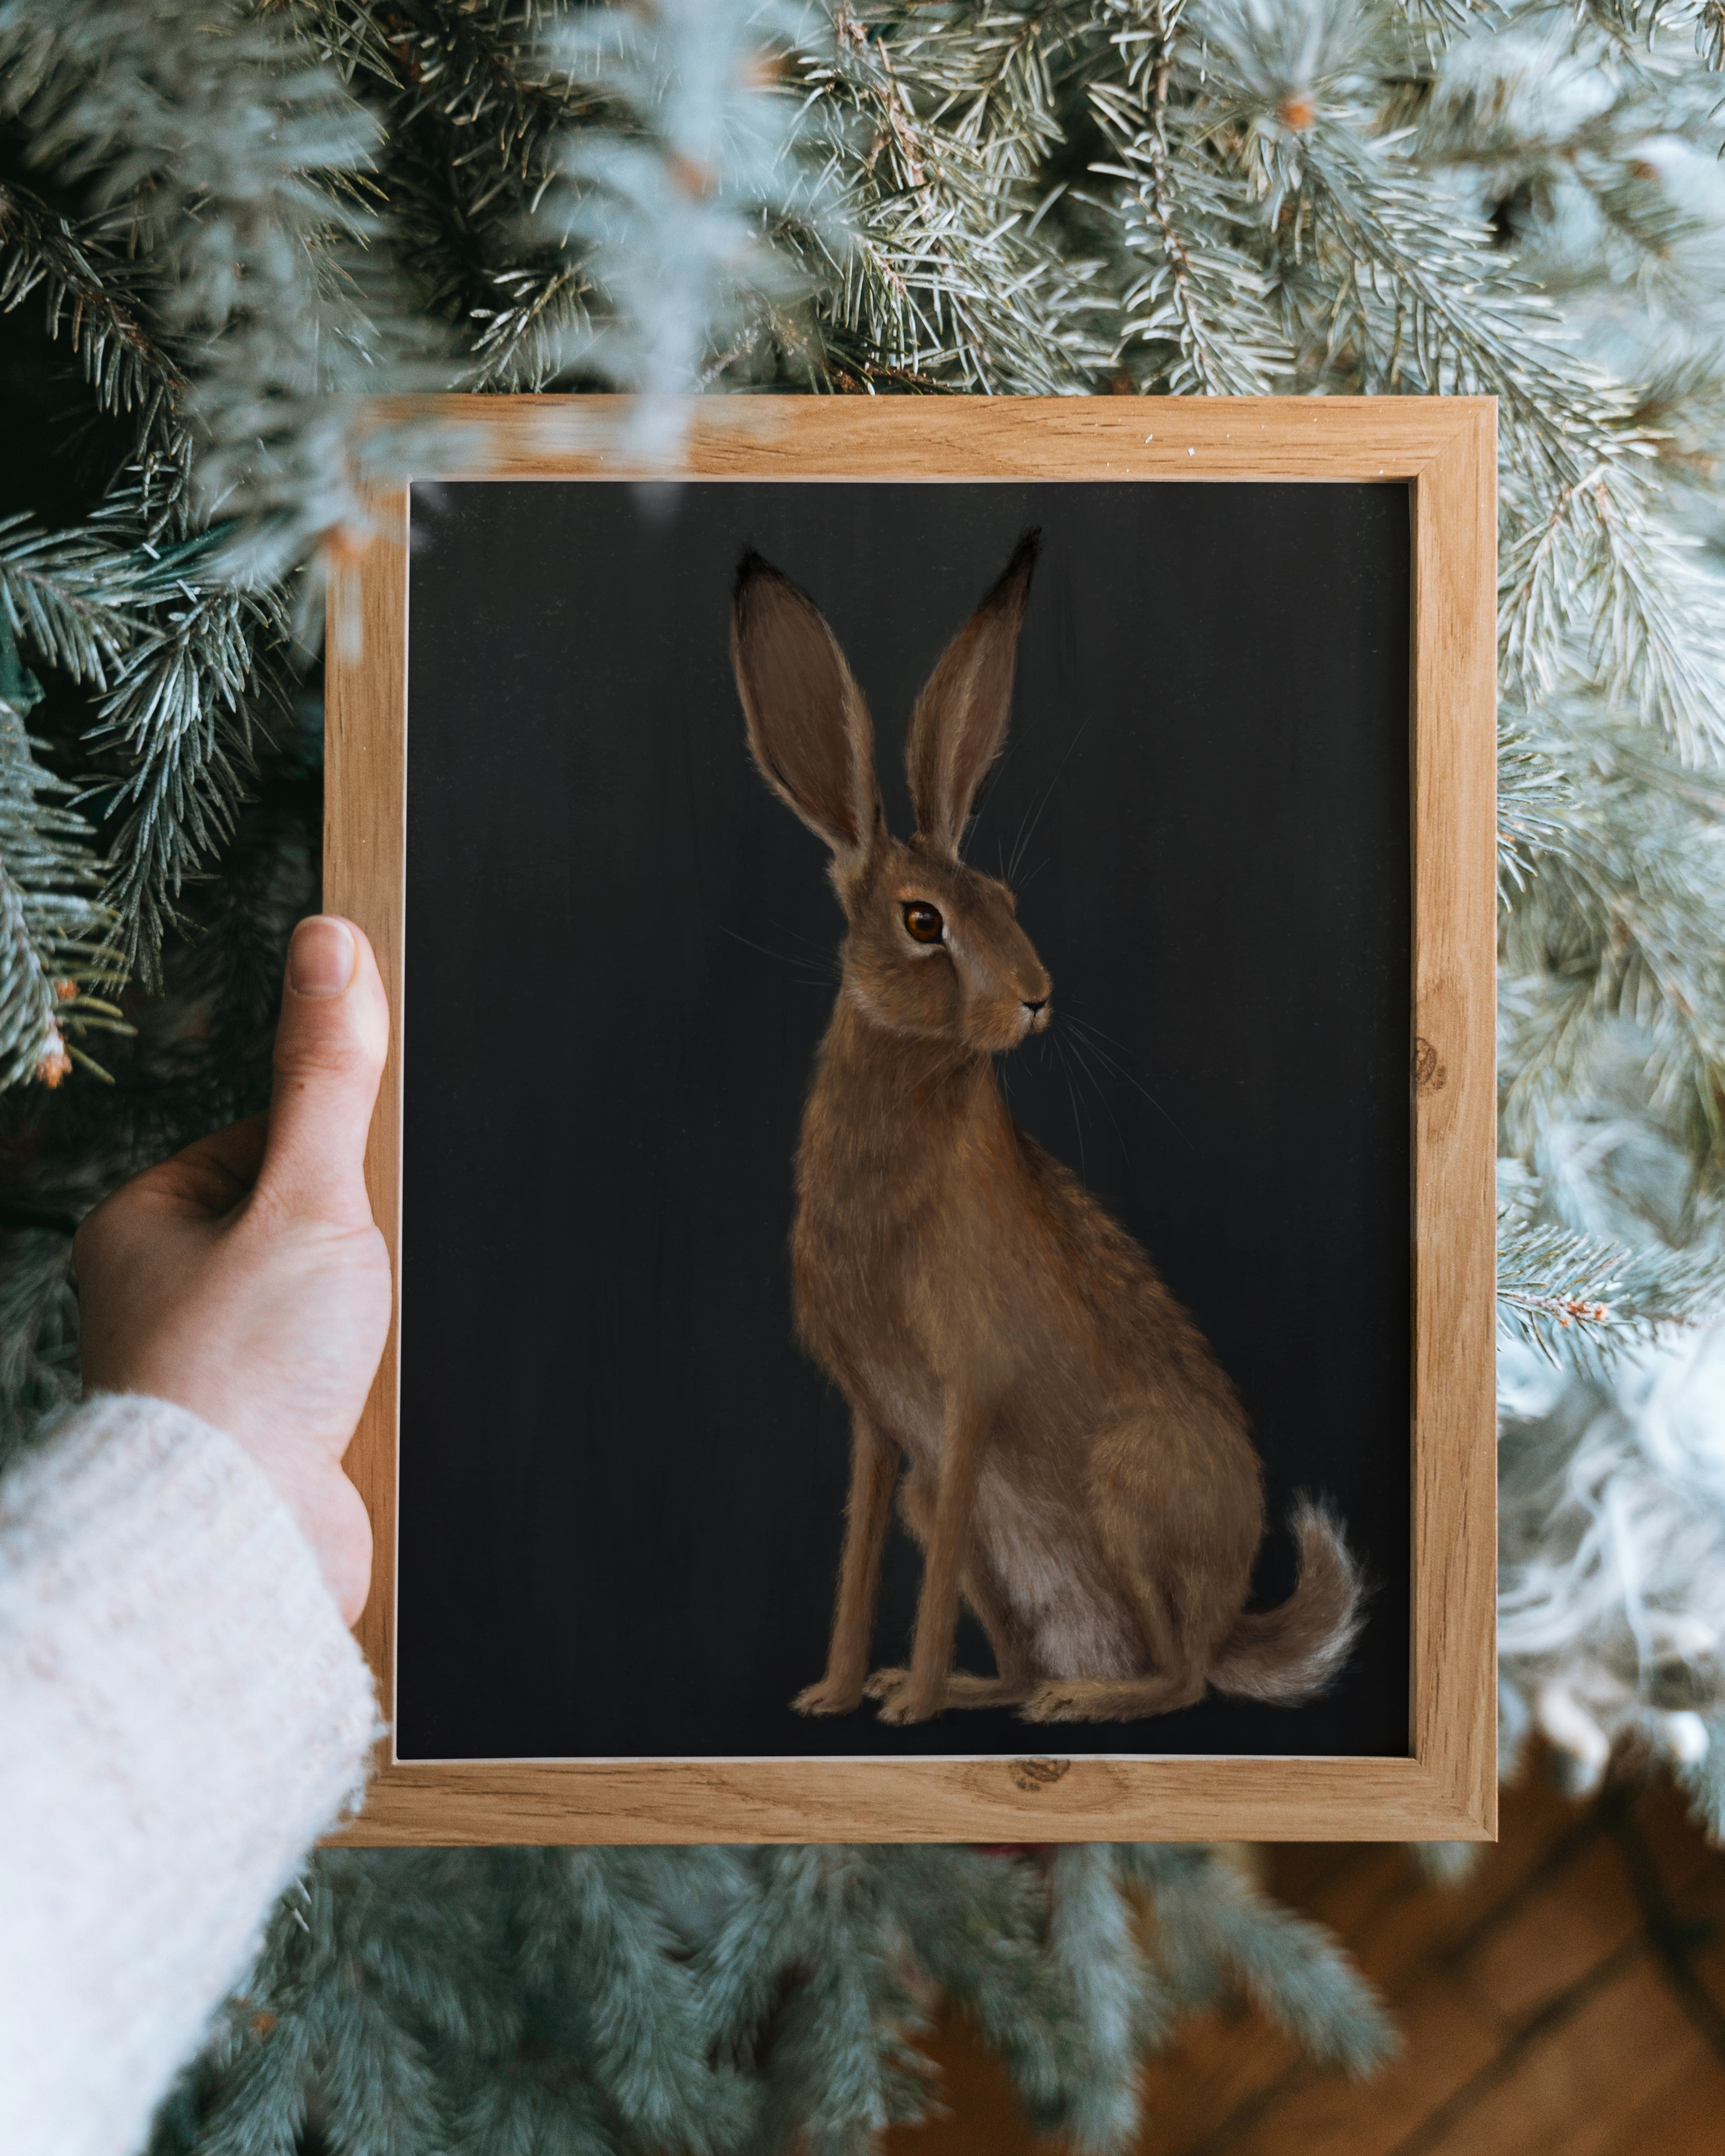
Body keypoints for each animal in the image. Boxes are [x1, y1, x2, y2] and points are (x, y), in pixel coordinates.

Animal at [729, 529, 1363, 1725]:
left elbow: (922, 1573)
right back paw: (983, 1688)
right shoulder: (883, 1427)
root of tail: (1229, 1618)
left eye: (1008, 900)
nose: (1035, 997)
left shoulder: (967, 1395)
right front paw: (836, 1694)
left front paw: (904, 1711)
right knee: (1034, 1643)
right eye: (922, 920)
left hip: (1127, 1486)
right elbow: (859, 1555)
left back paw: (1078, 1703)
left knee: (1180, 1679)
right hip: (978, 1509)